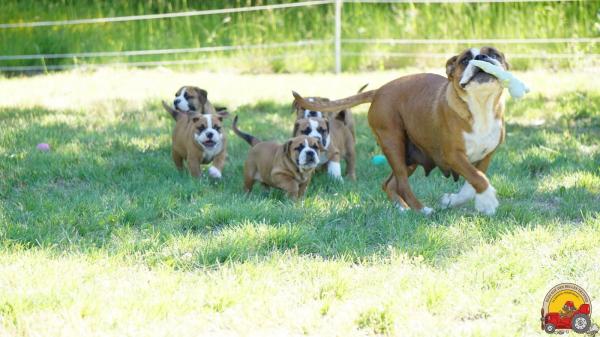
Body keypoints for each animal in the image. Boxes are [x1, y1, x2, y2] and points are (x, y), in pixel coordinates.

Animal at [292, 46, 508, 215]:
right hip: (394, 143)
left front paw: (458, 200)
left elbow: (473, 181)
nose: (482, 57)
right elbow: (478, 178)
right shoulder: (453, 155)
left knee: (389, 184)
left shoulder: (485, 156)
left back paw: (403, 208)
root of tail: (379, 91)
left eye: (494, 54)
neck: (480, 106)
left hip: (408, 156)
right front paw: (488, 200)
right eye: (465, 59)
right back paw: (421, 209)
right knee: (402, 184)